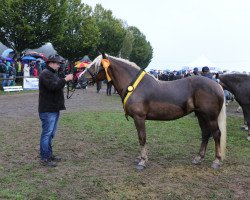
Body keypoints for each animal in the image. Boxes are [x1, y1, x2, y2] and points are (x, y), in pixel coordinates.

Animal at [78, 53, 227, 170]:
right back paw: (198, 158)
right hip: (201, 115)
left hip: (210, 117)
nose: (80, 79)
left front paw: (142, 161)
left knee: (216, 134)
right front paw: (140, 158)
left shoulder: (139, 117)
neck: (135, 86)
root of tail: (217, 85)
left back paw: (216, 161)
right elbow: (140, 138)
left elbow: (142, 137)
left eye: (97, 66)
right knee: (205, 134)